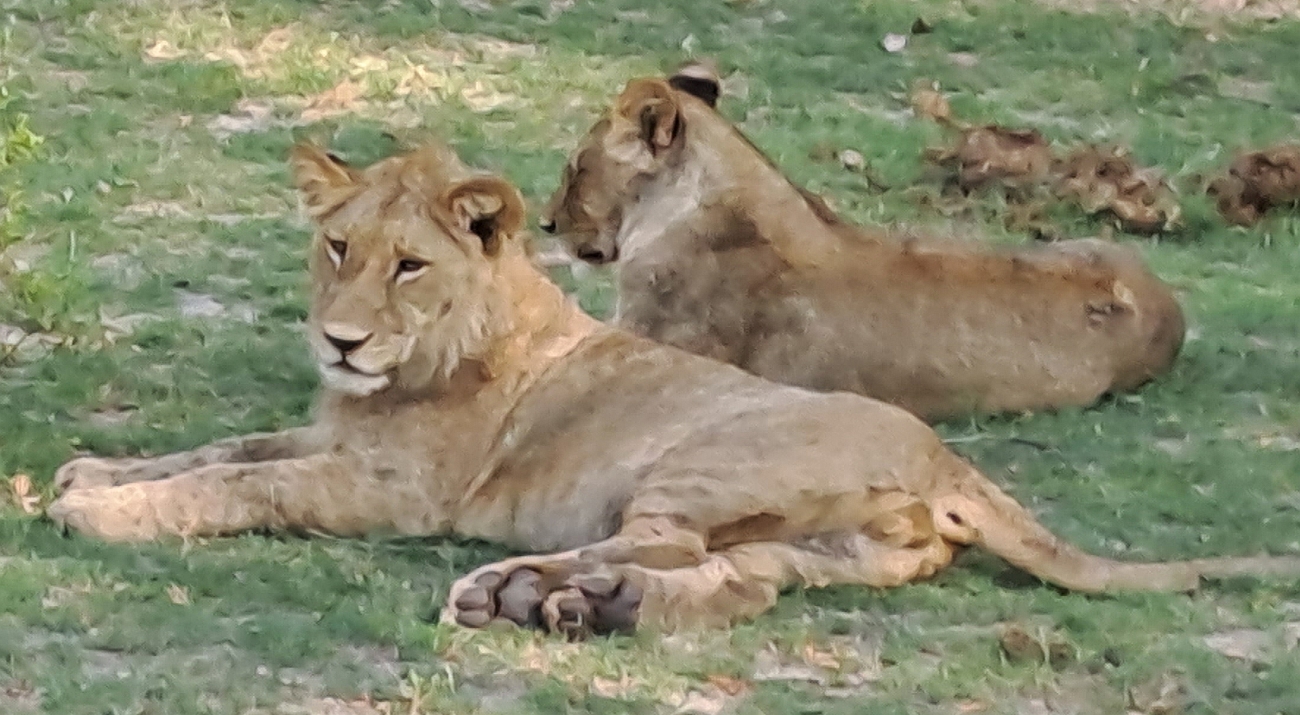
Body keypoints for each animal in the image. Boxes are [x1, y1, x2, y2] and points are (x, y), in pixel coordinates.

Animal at [46, 142, 1297, 638]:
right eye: (337, 247)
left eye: (409, 265)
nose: (340, 340)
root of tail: (945, 458)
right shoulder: (330, 439)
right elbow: (218, 452)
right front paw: (90, 471)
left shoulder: (394, 490)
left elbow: (240, 488)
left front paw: (102, 512)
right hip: (825, 546)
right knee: (735, 580)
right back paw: (577, 605)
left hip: (702, 456)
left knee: (665, 544)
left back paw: (511, 588)